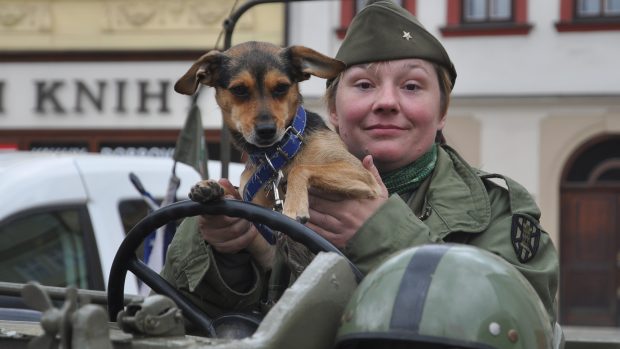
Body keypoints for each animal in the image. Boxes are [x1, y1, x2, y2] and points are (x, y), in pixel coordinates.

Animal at [172, 41, 380, 270]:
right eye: (239, 90)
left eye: (281, 87)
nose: (266, 130)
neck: (275, 156)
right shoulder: (268, 231)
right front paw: (213, 187)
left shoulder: (362, 174)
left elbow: (300, 168)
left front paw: (294, 206)